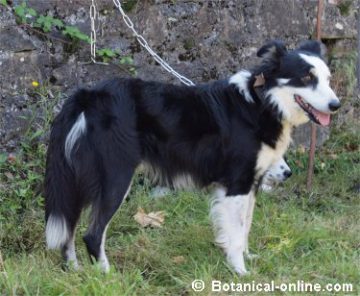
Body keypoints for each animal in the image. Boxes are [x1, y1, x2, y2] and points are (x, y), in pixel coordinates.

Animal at [45, 40, 340, 276]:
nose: (336, 106)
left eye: (327, 79)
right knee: (92, 234)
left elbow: (244, 227)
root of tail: (88, 95)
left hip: (79, 181)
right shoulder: (237, 184)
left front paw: (247, 259)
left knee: (69, 231)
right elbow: (236, 232)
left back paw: (75, 271)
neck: (262, 102)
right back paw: (108, 276)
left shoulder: (250, 184)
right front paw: (241, 272)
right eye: (306, 78)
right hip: (115, 176)